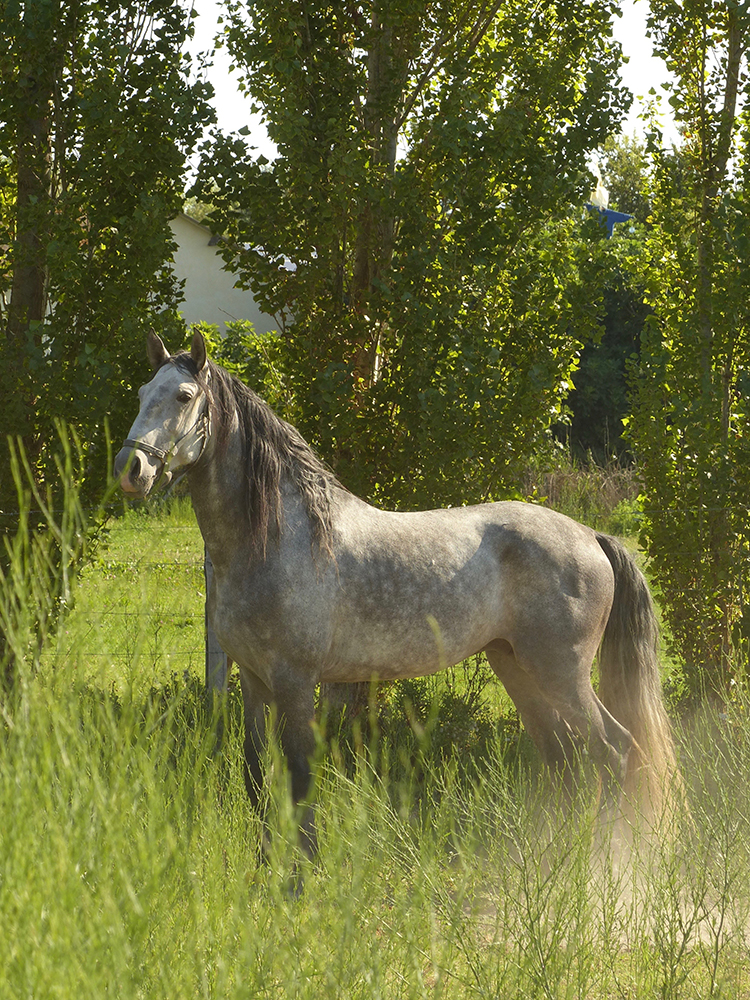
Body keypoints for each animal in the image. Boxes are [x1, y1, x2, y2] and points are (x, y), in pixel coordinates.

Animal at [116, 332, 680, 840]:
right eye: (142, 393)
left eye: (183, 396)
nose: (130, 468)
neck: (280, 537)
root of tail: (590, 535)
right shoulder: (255, 683)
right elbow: (259, 784)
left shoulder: (295, 682)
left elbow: (299, 788)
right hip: (519, 670)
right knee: (566, 761)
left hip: (563, 675)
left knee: (613, 753)